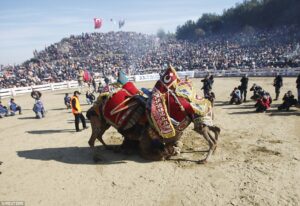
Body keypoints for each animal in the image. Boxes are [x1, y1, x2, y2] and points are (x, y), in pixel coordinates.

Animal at [86, 67, 220, 163]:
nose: (206, 110)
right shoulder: (145, 143)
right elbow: (161, 154)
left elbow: (176, 146)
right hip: (97, 121)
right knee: (92, 140)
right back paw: (97, 157)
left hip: (104, 123)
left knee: (99, 136)